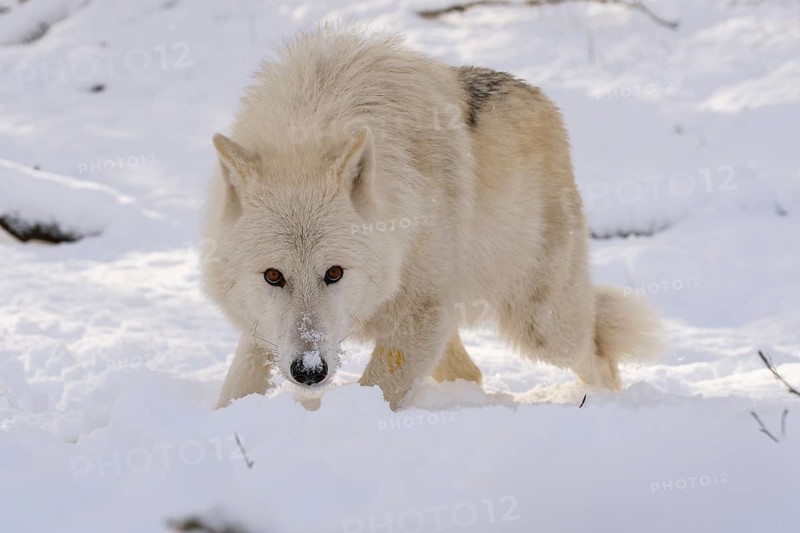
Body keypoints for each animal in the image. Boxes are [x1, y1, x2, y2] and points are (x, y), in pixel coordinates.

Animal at [203, 27, 660, 410]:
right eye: (273, 276)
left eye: (334, 273)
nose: (309, 370)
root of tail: (543, 100)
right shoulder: (262, 328)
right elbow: (235, 389)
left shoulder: (419, 316)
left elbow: (377, 390)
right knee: (470, 372)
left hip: (541, 327)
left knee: (600, 355)